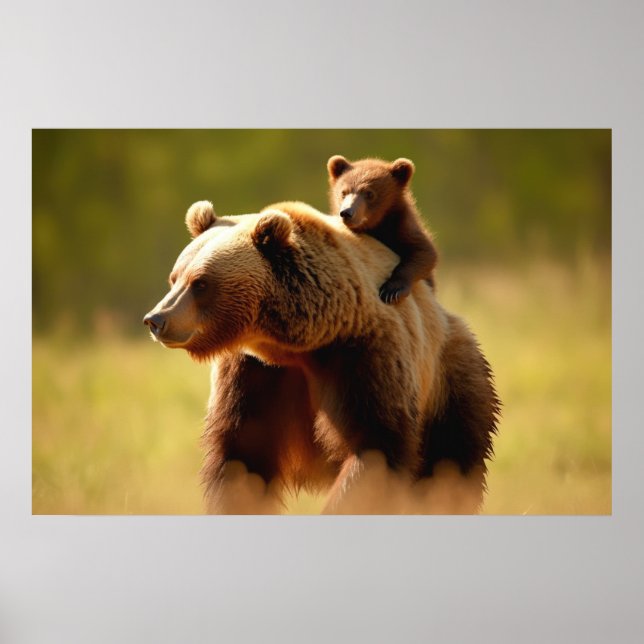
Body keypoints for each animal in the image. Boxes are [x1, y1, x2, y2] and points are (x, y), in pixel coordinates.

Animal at [143, 199, 500, 514]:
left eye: (201, 283)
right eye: (175, 277)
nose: (156, 319)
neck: (298, 343)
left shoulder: (364, 356)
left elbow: (374, 446)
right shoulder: (254, 373)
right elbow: (242, 455)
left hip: (449, 388)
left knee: (450, 468)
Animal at [327, 155, 438, 303]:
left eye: (369, 193)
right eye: (343, 192)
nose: (346, 212)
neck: (376, 227)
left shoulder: (402, 228)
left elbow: (424, 253)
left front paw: (392, 290)